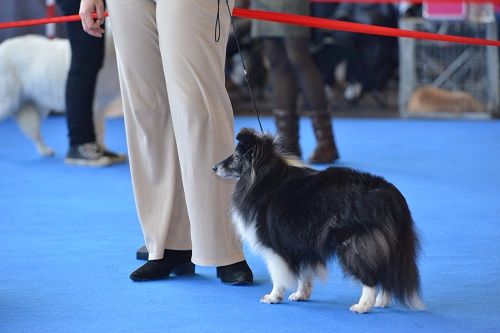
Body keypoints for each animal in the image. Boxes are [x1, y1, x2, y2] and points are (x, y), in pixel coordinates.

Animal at [0, 26, 120, 156]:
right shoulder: (93, 106)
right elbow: (97, 130)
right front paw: (98, 152)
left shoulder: (101, 108)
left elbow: (101, 131)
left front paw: (104, 150)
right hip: (7, 104)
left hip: (38, 108)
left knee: (35, 132)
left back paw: (45, 150)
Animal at [213, 127, 424, 312]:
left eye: (236, 155)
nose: (214, 167)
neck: (262, 176)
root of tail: (387, 192)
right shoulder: (301, 243)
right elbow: (303, 274)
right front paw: (301, 295)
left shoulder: (274, 245)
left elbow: (278, 275)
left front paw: (273, 297)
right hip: (389, 244)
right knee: (386, 273)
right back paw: (382, 302)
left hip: (355, 243)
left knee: (370, 276)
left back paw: (362, 306)